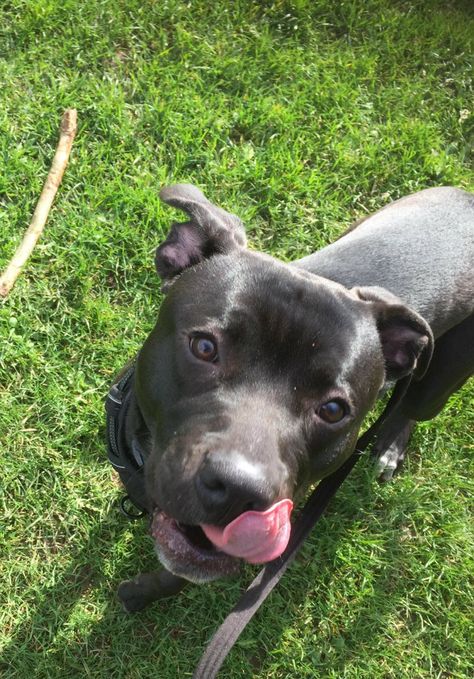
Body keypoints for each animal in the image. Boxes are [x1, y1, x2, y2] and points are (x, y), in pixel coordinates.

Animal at [115, 183, 474, 612]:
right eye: (204, 347)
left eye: (333, 410)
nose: (240, 490)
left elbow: (176, 575)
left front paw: (141, 593)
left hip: (441, 376)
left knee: (412, 406)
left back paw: (390, 444)